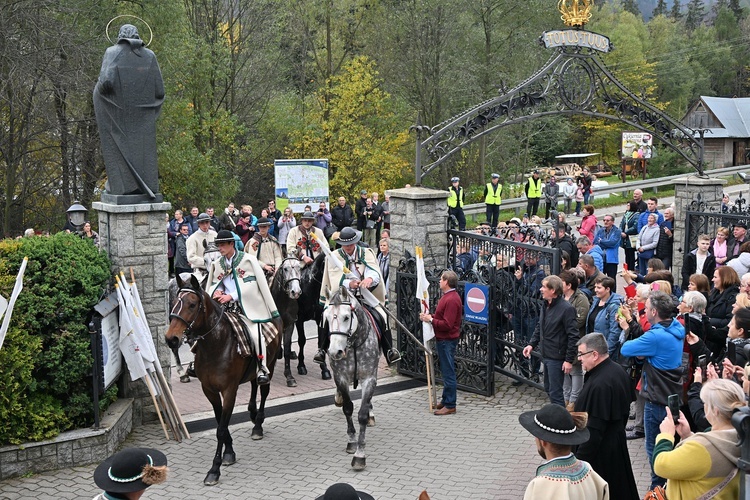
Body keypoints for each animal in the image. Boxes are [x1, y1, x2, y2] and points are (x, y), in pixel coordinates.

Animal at [165, 274, 282, 484]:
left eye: (192, 304)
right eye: (176, 302)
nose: (171, 339)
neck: (216, 345)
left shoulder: (229, 391)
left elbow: (221, 428)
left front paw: (214, 469)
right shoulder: (209, 390)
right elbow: (221, 422)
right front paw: (229, 452)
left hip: (271, 364)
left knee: (264, 390)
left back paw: (258, 425)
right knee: (253, 384)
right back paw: (252, 412)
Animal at [270, 258, 306, 386]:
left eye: (300, 268)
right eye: (285, 269)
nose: (295, 292)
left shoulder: (290, 325)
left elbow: (286, 350)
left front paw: (289, 376)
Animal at [324, 286, 382, 468]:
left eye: (346, 317)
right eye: (327, 318)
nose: (335, 352)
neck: (355, 344)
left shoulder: (369, 378)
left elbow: (362, 414)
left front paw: (360, 455)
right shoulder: (340, 377)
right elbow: (348, 408)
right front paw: (352, 442)